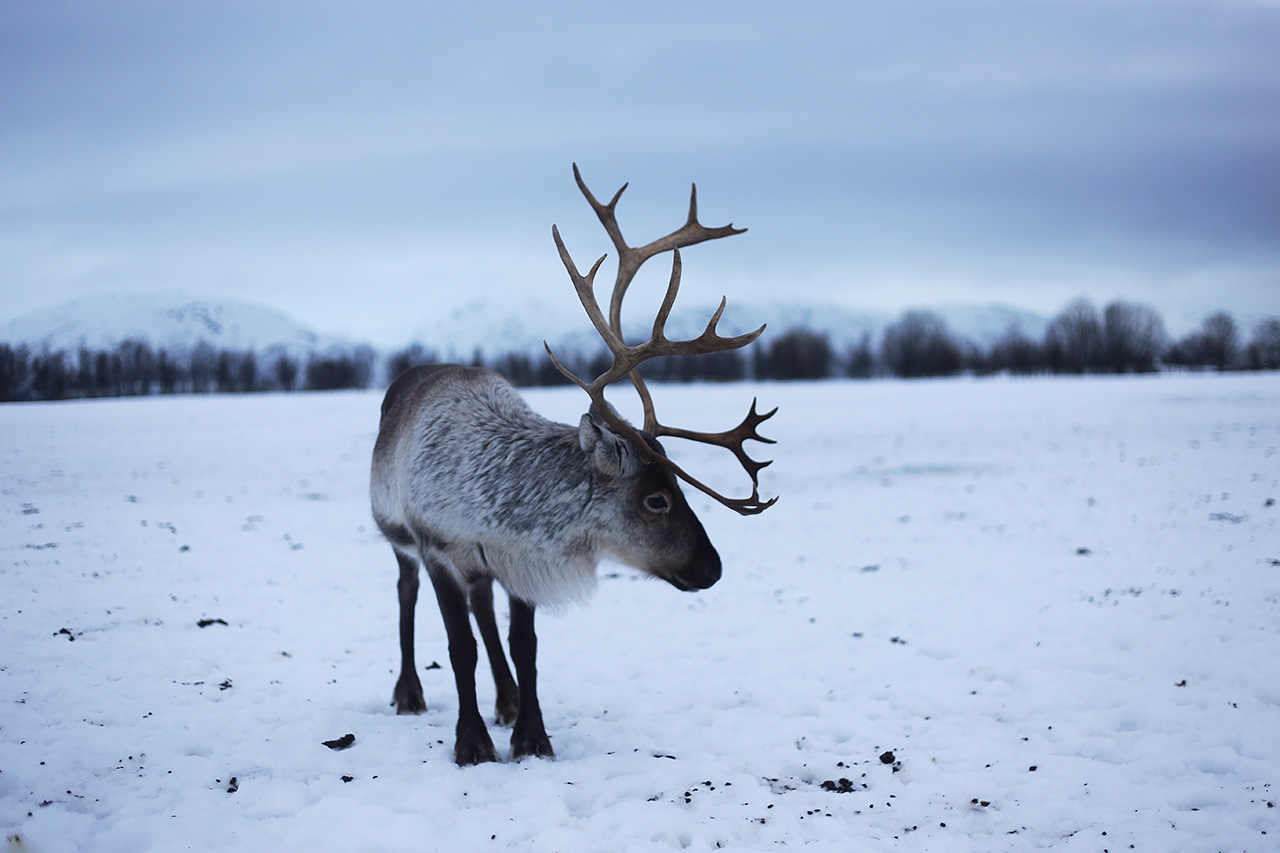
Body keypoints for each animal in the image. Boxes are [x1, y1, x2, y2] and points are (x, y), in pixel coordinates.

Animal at [370, 164, 776, 765]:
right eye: (656, 498)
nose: (712, 568)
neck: (489, 502)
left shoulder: (516, 559)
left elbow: (524, 645)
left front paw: (531, 736)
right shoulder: (439, 548)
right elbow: (460, 645)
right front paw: (472, 743)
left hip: (481, 571)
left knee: (484, 612)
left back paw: (507, 700)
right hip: (398, 538)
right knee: (407, 593)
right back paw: (409, 693)